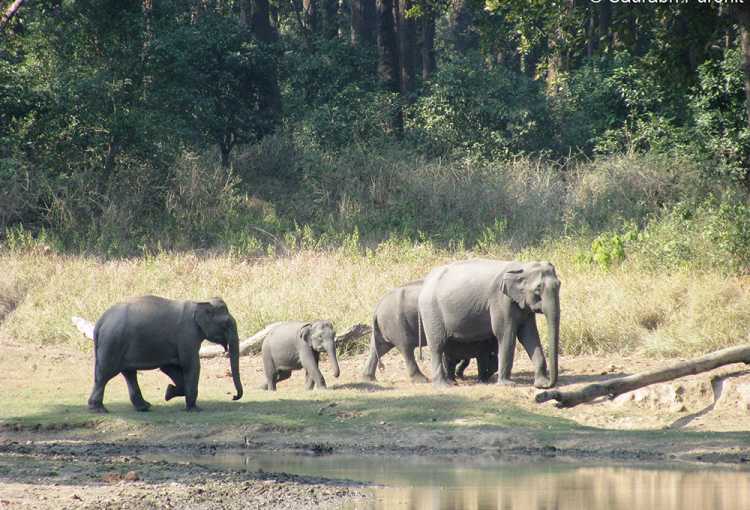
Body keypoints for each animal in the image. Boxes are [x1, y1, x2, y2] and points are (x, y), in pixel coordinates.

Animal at [362, 280, 500, 384]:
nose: (491, 375)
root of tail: (377, 308)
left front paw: (459, 374)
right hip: (396, 324)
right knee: (406, 348)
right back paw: (422, 380)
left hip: (386, 327)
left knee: (378, 348)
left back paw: (369, 379)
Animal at [420, 260, 560, 388]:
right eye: (538, 288)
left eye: (559, 284)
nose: (548, 385)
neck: (522, 266)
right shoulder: (501, 300)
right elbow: (506, 334)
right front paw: (507, 384)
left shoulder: (523, 305)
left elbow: (529, 335)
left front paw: (540, 383)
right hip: (431, 311)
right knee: (437, 345)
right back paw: (443, 385)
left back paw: (452, 382)